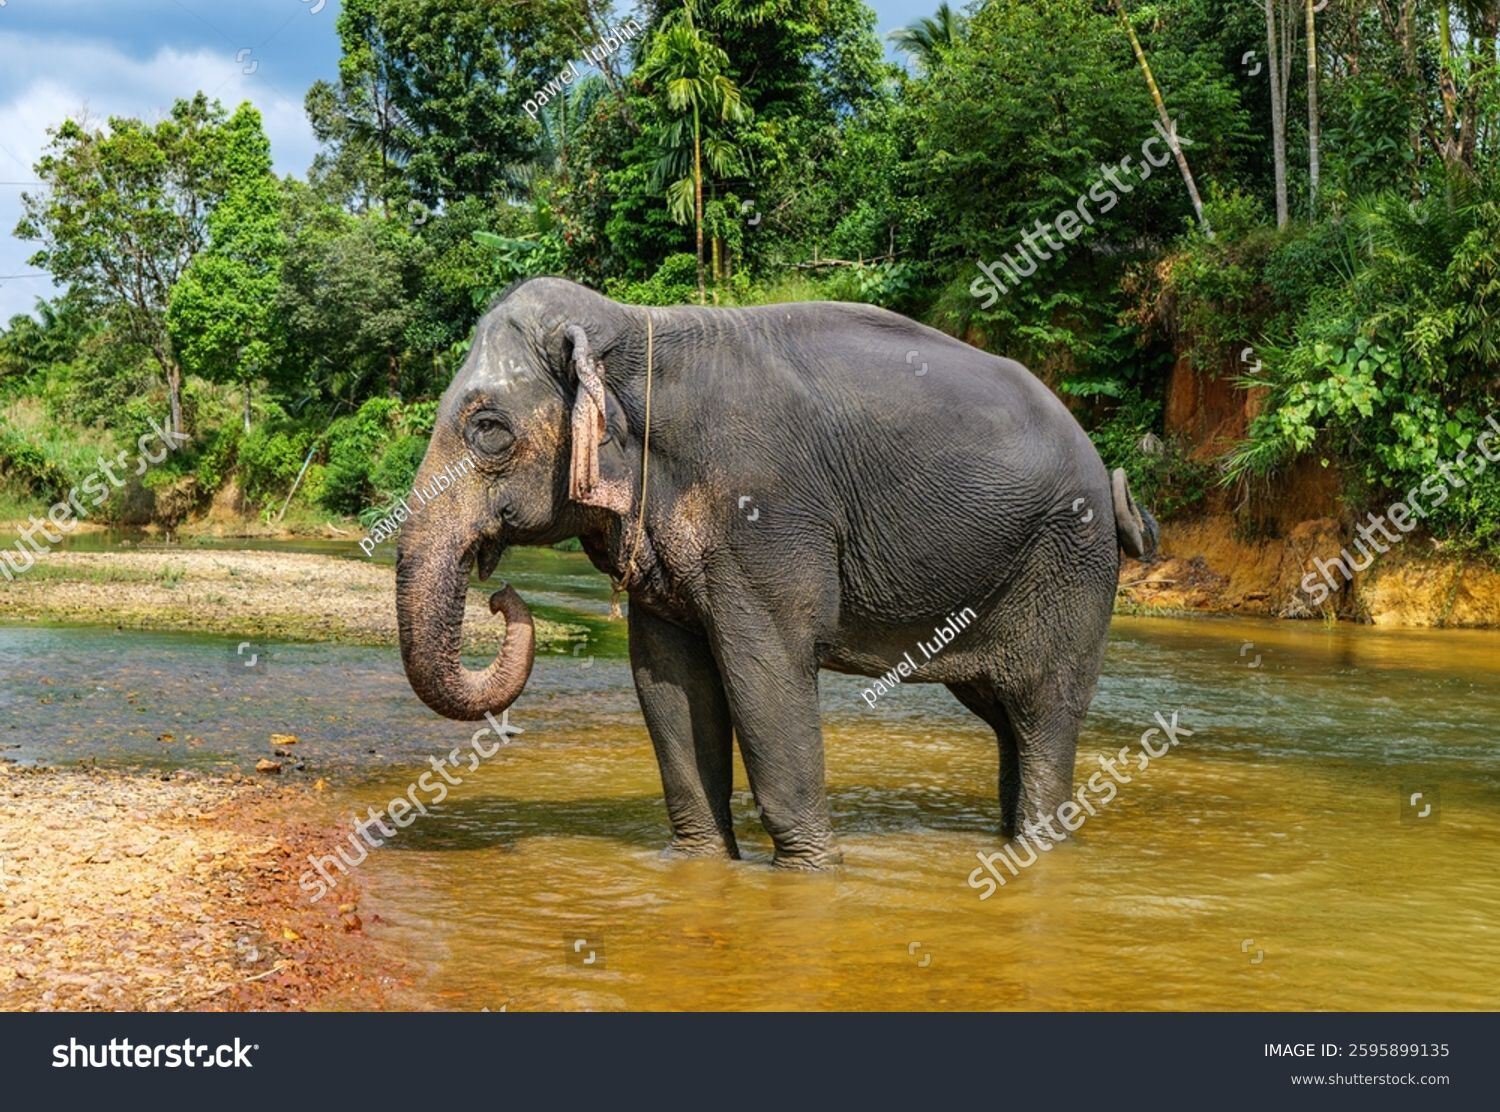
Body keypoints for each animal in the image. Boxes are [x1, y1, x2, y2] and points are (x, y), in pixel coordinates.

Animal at [395, 277, 1158, 868]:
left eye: (489, 430)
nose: (500, 595)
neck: (633, 327)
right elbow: (667, 678)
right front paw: (702, 866)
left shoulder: (765, 516)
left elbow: (765, 668)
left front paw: (813, 874)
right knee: (1003, 717)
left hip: (1069, 561)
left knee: (1043, 711)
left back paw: (1037, 847)